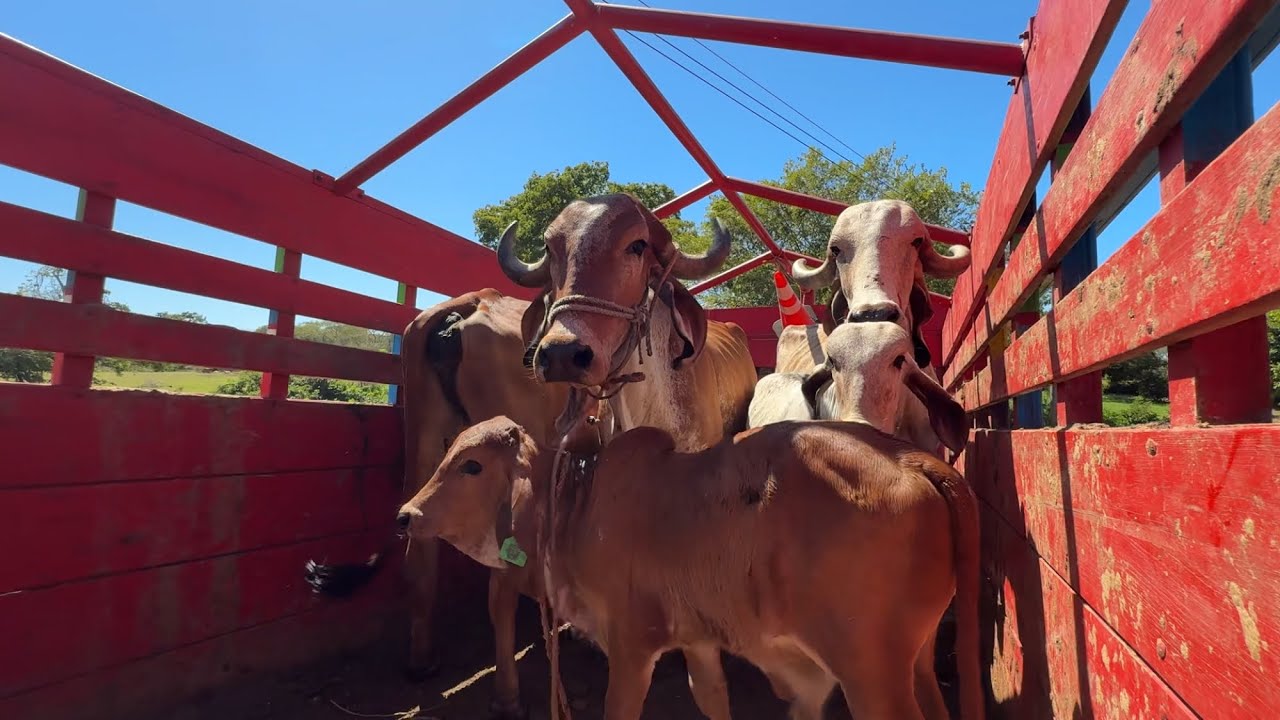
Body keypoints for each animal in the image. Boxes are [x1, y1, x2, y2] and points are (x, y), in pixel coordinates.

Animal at [304, 289, 607, 718]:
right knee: (500, 587)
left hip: (426, 442)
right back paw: (507, 695)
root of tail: (470, 302)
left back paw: (422, 662)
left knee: (419, 556)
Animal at [397, 412, 983, 720]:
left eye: (471, 465)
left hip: (871, 672)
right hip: (918, 660)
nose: (406, 516)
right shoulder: (699, 640)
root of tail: (908, 457)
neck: (575, 506)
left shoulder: (632, 643)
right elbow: (712, 697)